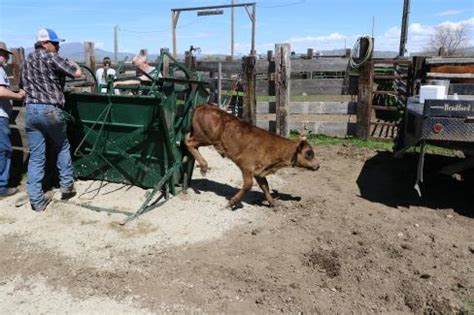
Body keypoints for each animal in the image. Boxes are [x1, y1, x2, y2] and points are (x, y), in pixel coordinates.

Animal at [183, 103, 320, 207]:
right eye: (309, 153)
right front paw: (233, 202)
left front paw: (273, 203)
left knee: (187, 139)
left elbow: (265, 187)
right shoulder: (246, 166)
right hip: (206, 137)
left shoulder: (260, 172)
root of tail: (204, 105)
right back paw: (204, 167)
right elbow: (248, 185)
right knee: (188, 142)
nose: (318, 165)